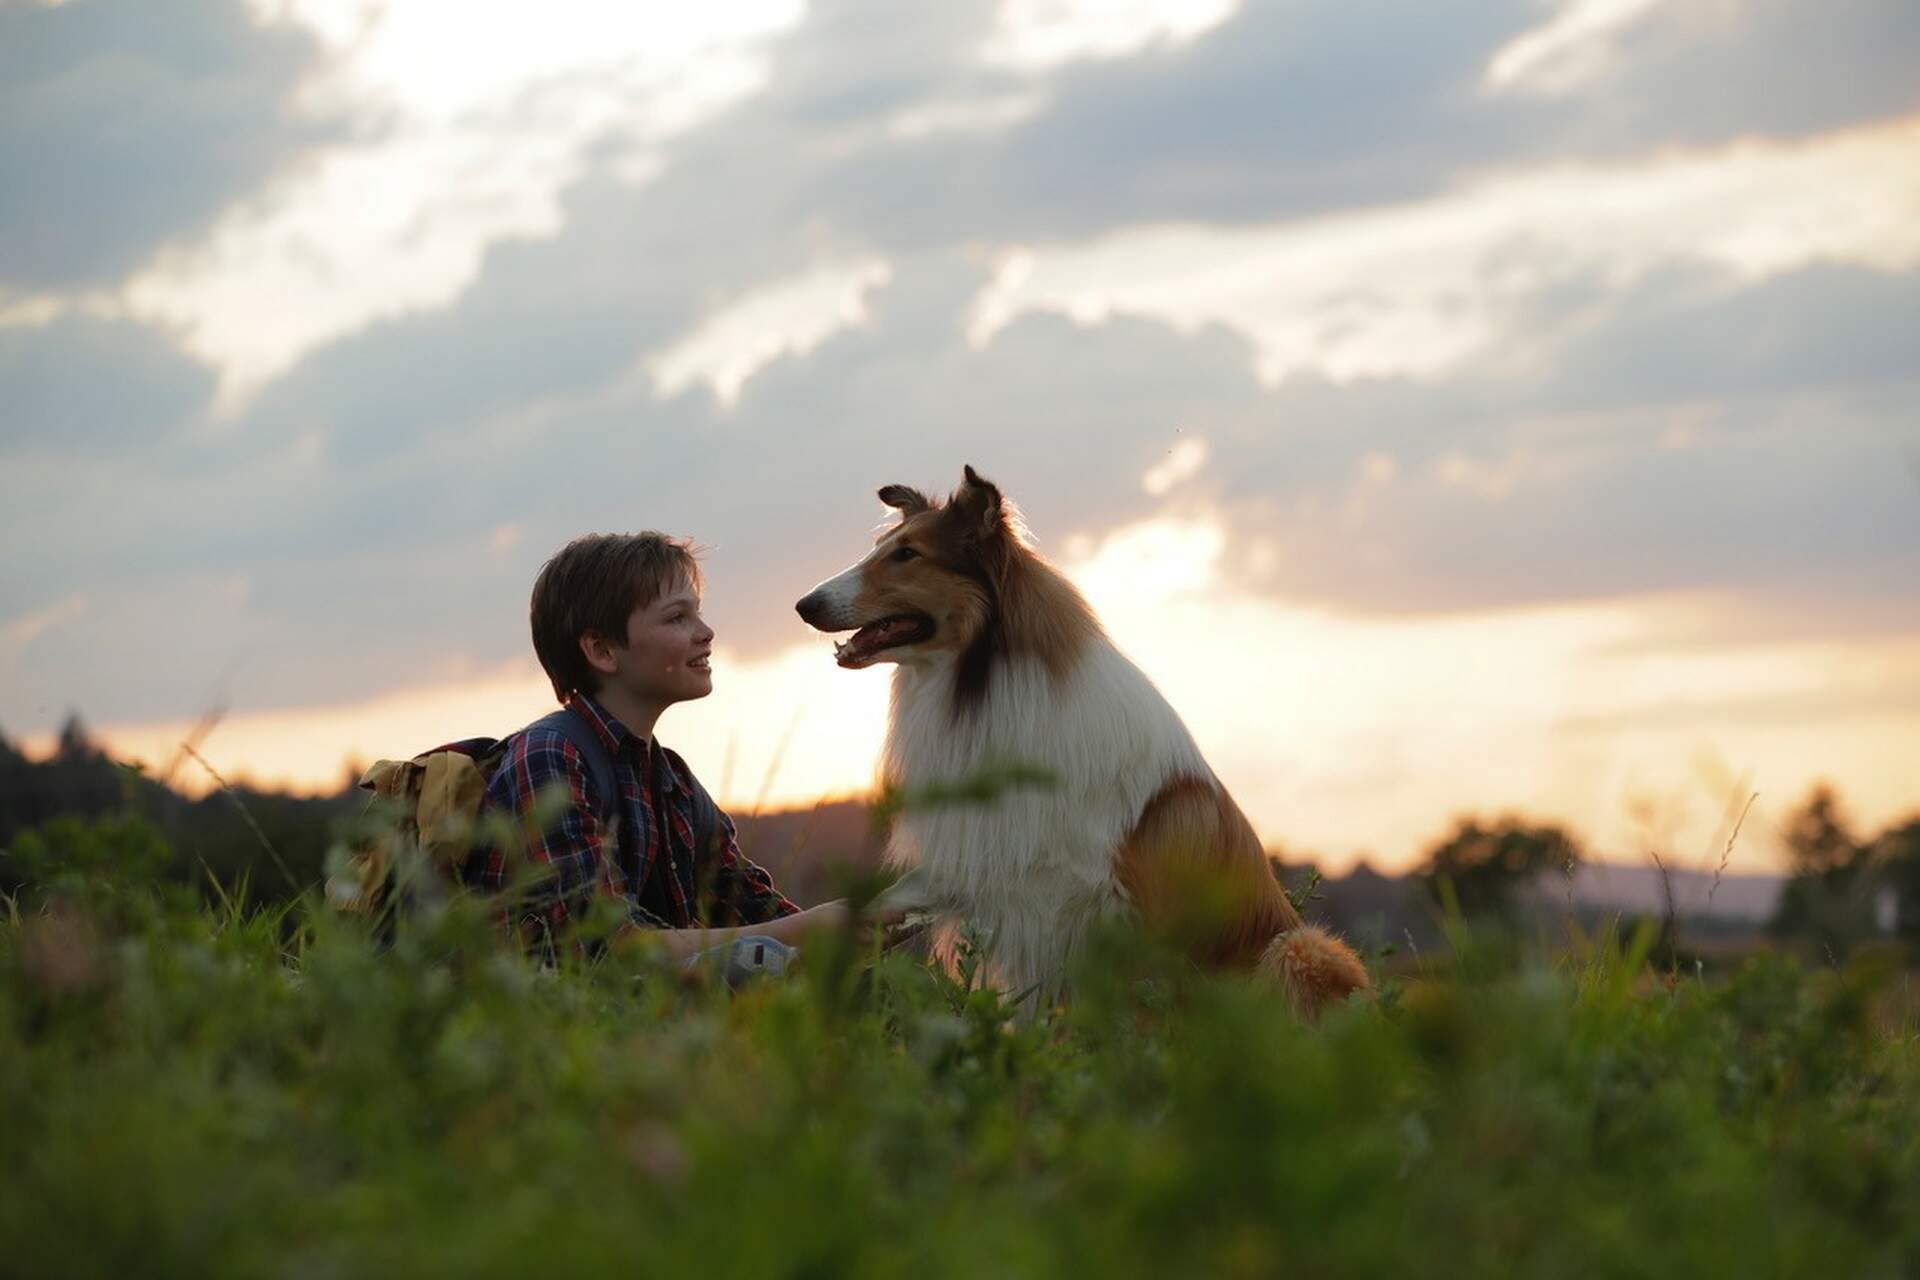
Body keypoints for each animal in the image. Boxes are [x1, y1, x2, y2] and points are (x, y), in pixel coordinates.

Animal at [791, 466, 1367, 1013]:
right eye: (882, 548)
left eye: (907, 554)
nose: (803, 605)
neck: (981, 682)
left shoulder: (1108, 916)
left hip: (1300, 948)